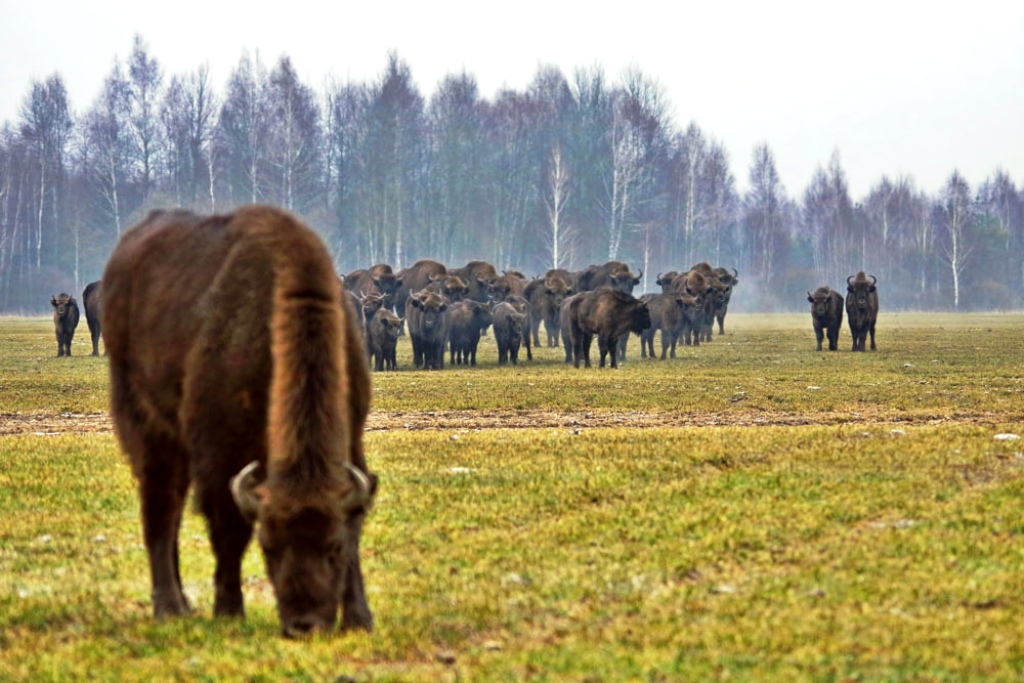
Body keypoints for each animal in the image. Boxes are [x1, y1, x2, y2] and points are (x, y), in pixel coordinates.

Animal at [99, 205, 378, 638]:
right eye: (269, 546)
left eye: (331, 547)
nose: (304, 624)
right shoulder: (219, 454)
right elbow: (229, 530)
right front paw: (229, 611)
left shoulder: (352, 437)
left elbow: (355, 529)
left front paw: (359, 619)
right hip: (149, 427)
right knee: (160, 508)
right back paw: (169, 608)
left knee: (172, 510)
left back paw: (185, 605)